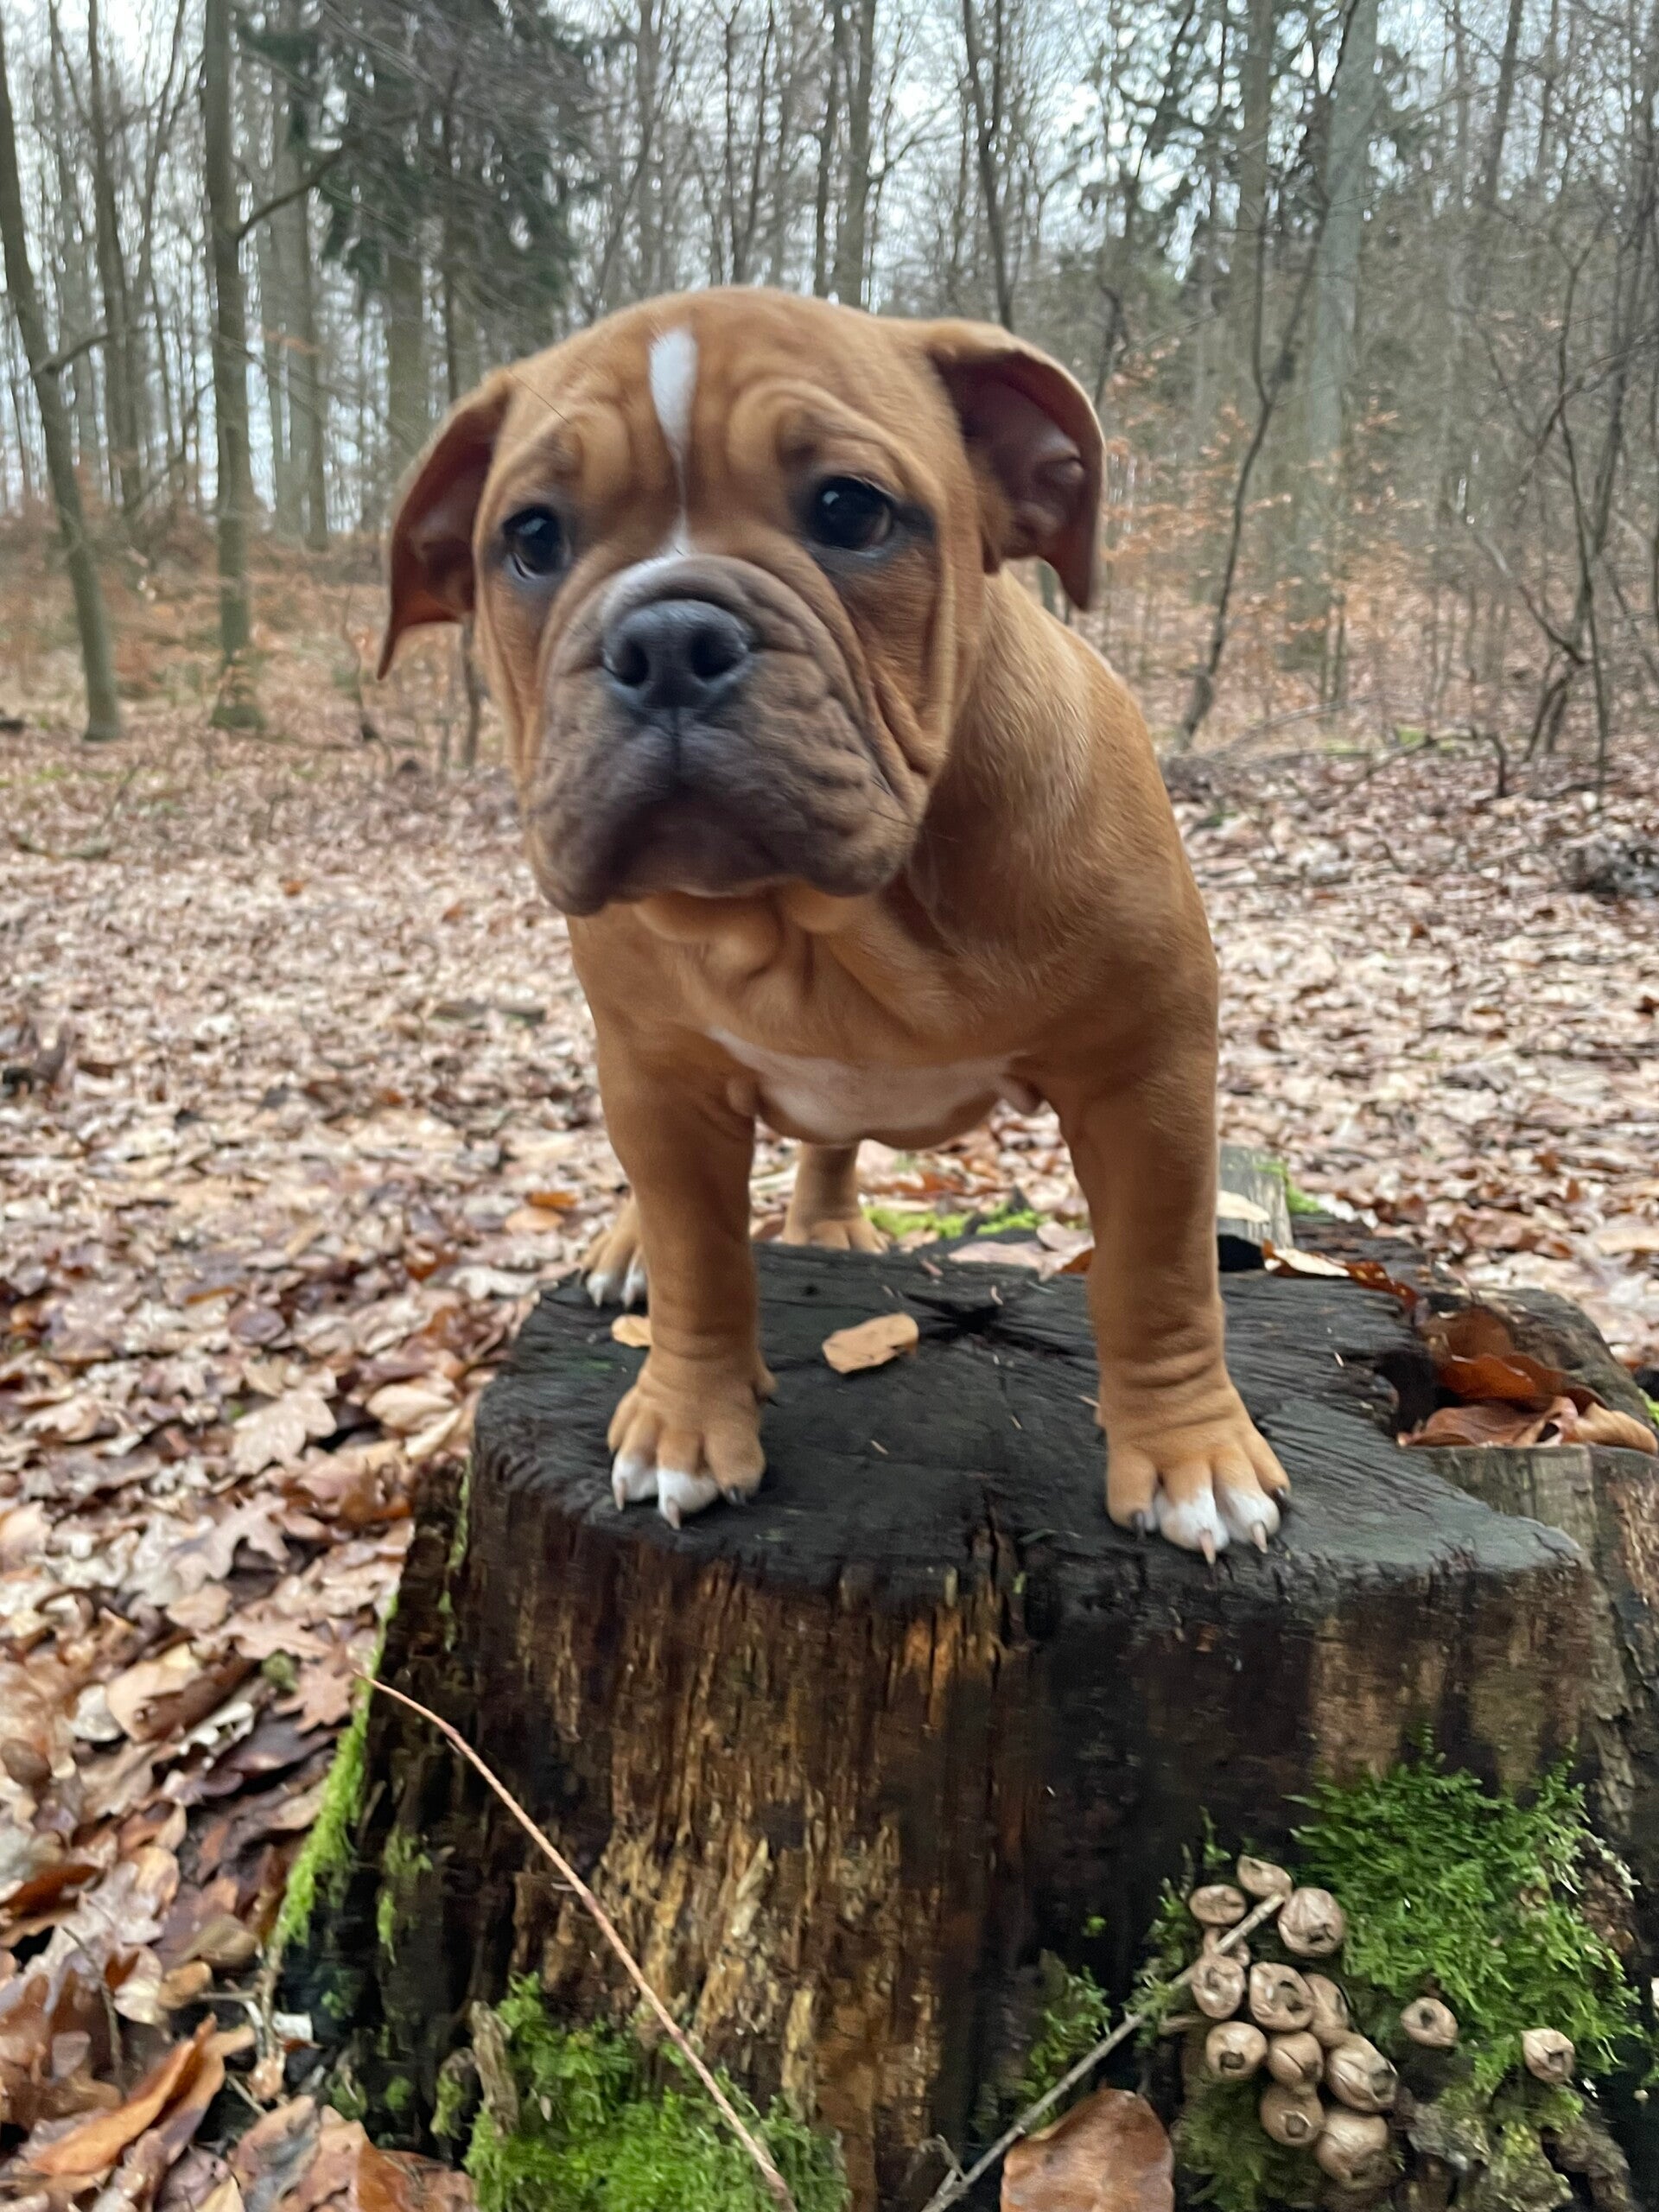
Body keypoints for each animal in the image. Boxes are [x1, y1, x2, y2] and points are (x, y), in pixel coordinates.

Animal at [379, 288, 1290, 1556]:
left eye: (850, 510)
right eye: (532, 539)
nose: (665, 640)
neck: (829, 923)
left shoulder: (1144, 1072)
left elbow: (1160, 1278)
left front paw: (1191, 1455)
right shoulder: (656, 1077)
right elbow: (702, 1261)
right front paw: (686, 1421)